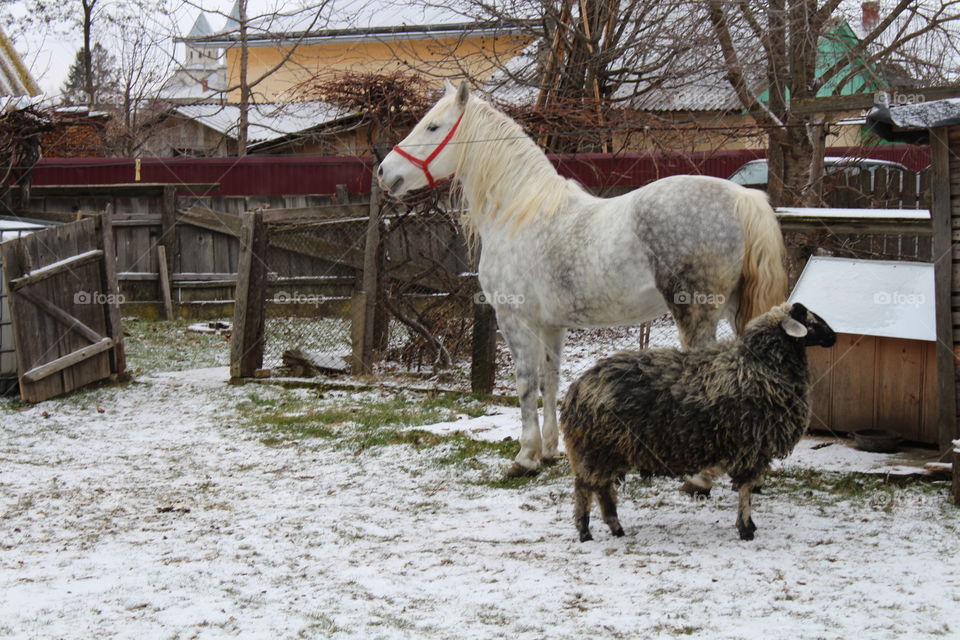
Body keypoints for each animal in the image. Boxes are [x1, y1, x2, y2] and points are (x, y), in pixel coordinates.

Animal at [376, 81, 788, 480]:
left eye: (433, 126)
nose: (383, 171)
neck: (519, 211)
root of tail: (740, 197)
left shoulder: (515, 320)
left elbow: (526, 383)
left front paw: (525, 457)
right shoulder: (551, 325)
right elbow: (550, 380)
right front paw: (548, 451)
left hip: (696, 313)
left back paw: (701, 475)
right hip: (733, 308)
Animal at [560, 302, 836, 544]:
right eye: (810, 320)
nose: (833, 338)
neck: (759, 366)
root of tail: (576, 389)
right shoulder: (750, 447)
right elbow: (746, 489)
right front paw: (746, 528)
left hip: (607, 450)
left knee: (601, 488)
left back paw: (615, 527)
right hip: (596, 448)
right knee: (585, 488)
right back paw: (585, 532)